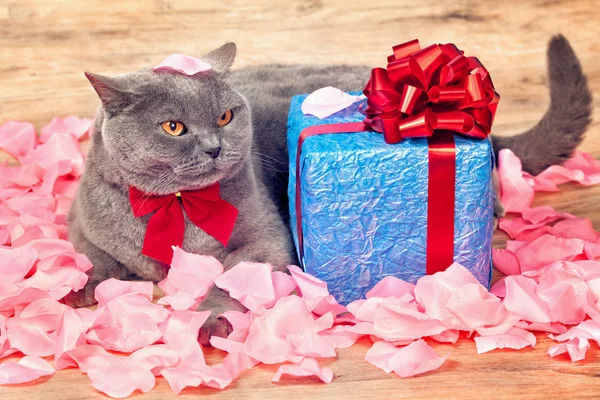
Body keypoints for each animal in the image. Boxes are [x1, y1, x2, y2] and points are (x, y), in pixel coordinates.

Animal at [65, 34, 592, 344]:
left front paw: (210, 319)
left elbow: (226, 278)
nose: (216, 148)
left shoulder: (266, 240)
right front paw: (81, 289)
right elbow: (93, 257)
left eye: (226, 116)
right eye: (173, 127)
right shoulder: (81, 222)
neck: (177, 207)